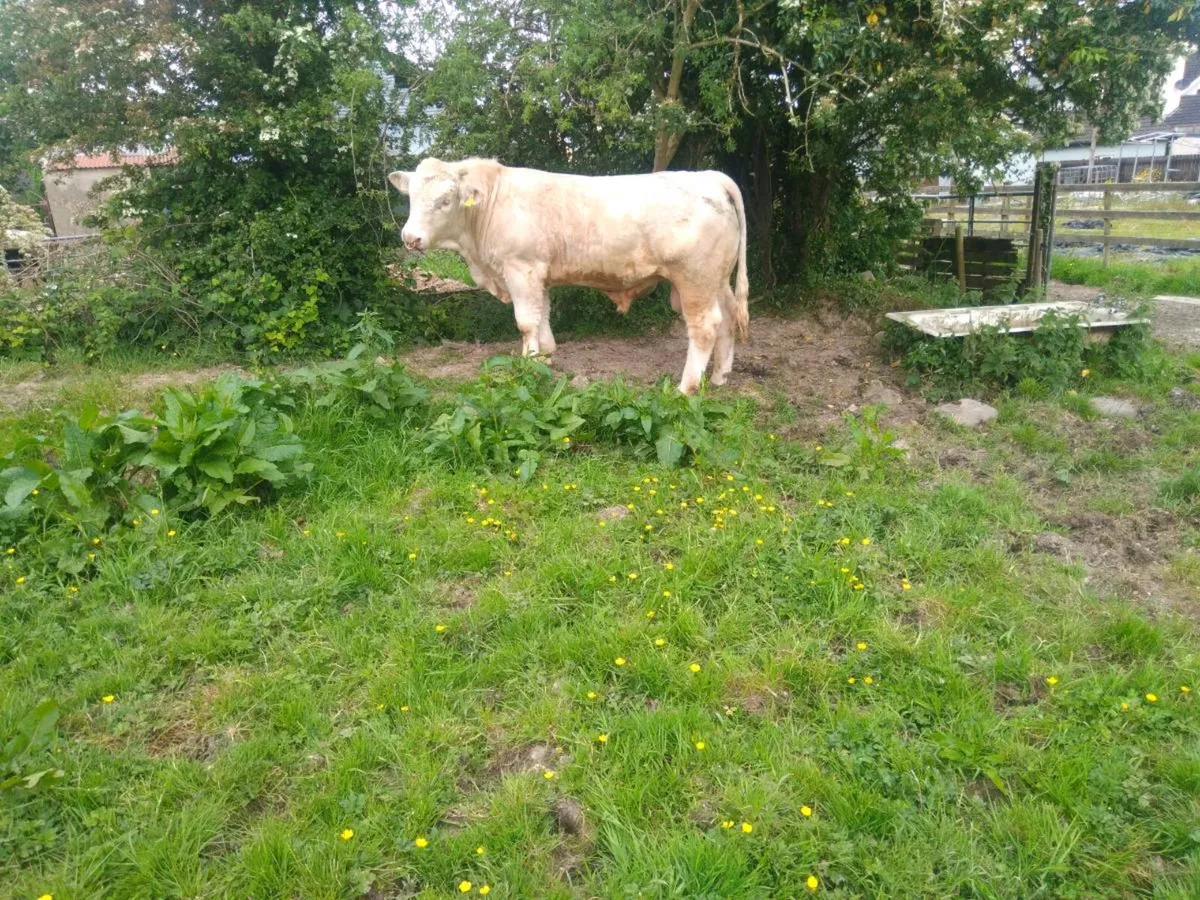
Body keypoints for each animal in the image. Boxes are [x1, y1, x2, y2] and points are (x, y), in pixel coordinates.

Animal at [388, 158, 749, 394]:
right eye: (411, 197)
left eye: (445, 200)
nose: (410, 238)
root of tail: (709, 177)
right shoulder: (538, 273)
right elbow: (542, 315)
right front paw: (546, 356)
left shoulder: (521, 269)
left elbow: (525, 322)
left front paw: (528, 363)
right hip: (717, 280)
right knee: (729, 318)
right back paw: (720, 376)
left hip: (695, 279)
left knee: (705, 328)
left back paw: (686, 388)